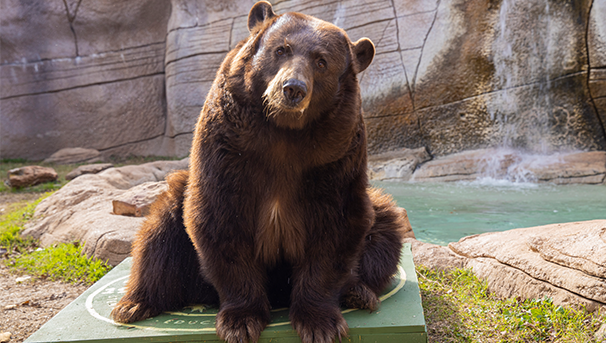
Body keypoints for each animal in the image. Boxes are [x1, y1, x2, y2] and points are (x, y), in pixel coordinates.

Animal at [111, 2, 408, 343]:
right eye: (281, 49)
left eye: (321, 61)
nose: (292, 89)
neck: (283, 132)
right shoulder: (229, 149)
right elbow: (222, 219)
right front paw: (241, 321)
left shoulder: (334, 157)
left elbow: (335, 225)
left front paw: (320, 322)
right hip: (178, 202)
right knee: (158, 236)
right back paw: (133, 304)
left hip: (374, 213)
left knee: (384, 230)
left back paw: (359, 292)